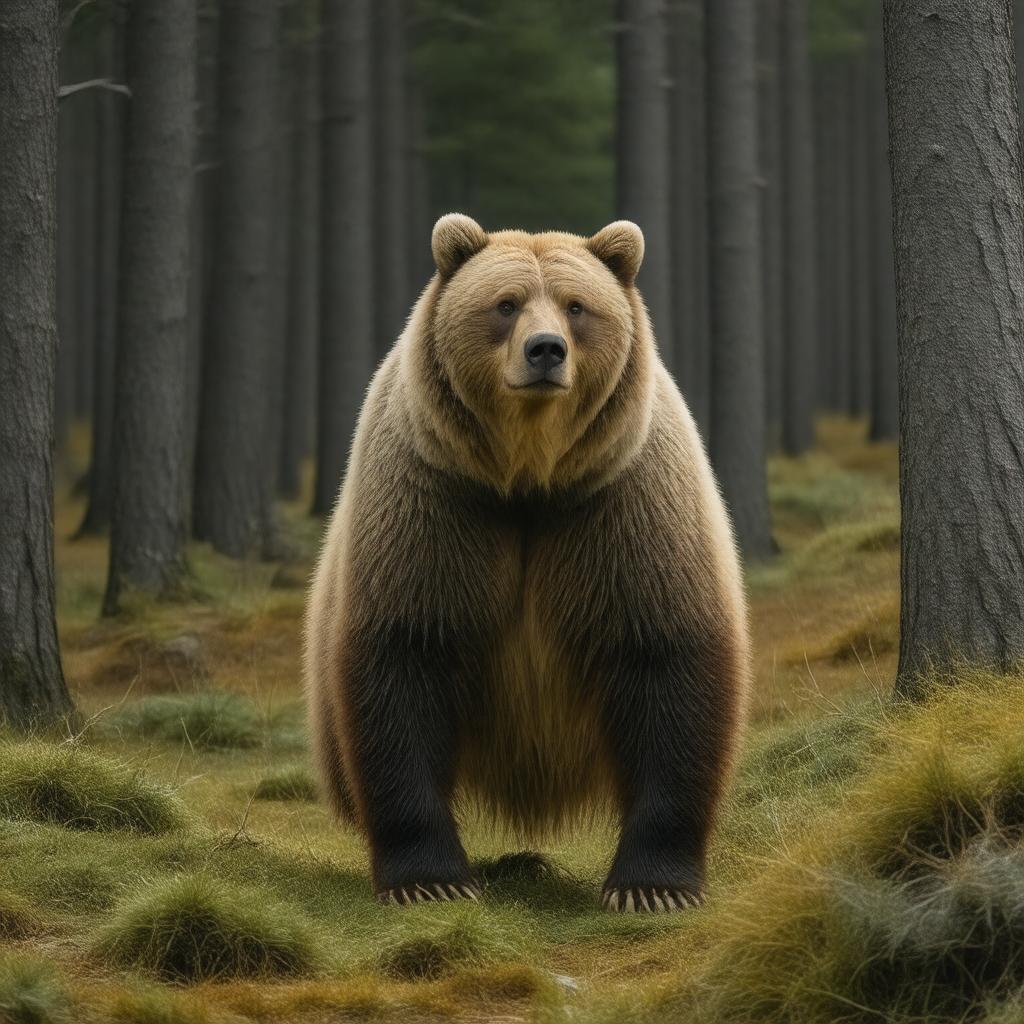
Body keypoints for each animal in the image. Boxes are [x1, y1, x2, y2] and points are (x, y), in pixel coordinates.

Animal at [304, 213, 750, 912]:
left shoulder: (621, 505)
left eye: (577, 306)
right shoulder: (437, 503)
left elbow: (667, 657)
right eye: (506, 303)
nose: (546, 351)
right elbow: (404, 657)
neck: (528, 478)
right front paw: (432, 879)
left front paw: (650, 886)